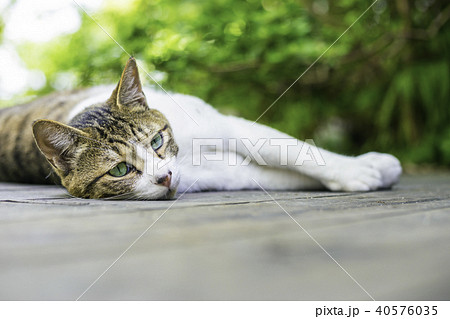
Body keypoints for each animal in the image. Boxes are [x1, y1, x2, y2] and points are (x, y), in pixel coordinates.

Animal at [0, 56, 400, 199]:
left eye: (157, 141)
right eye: (119, 170)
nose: (164, 177)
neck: (186, 153)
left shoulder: (225, 125)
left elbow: (293, 152)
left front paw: (362, 167)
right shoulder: (221, 173)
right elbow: (275, 175)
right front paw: (362, 172)